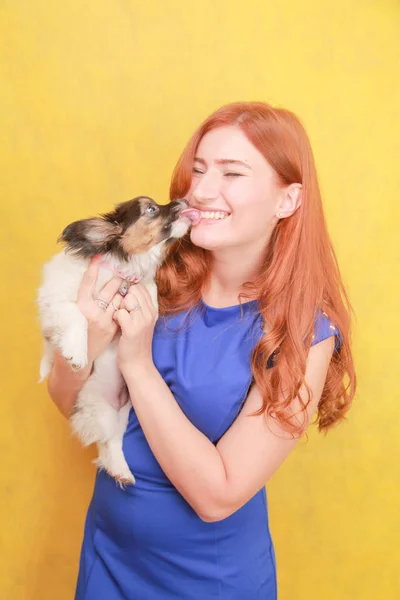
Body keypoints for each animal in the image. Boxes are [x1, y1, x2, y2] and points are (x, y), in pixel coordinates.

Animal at [36, 197, 199, 488]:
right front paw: (76, 353)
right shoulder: (54, 300)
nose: (184, 200)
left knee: (110, 442)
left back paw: (120, 469)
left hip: (123, 413)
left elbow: (148, 292)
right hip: (101, 410)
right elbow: (76, 316)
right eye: (151, 209)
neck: (123, 270)